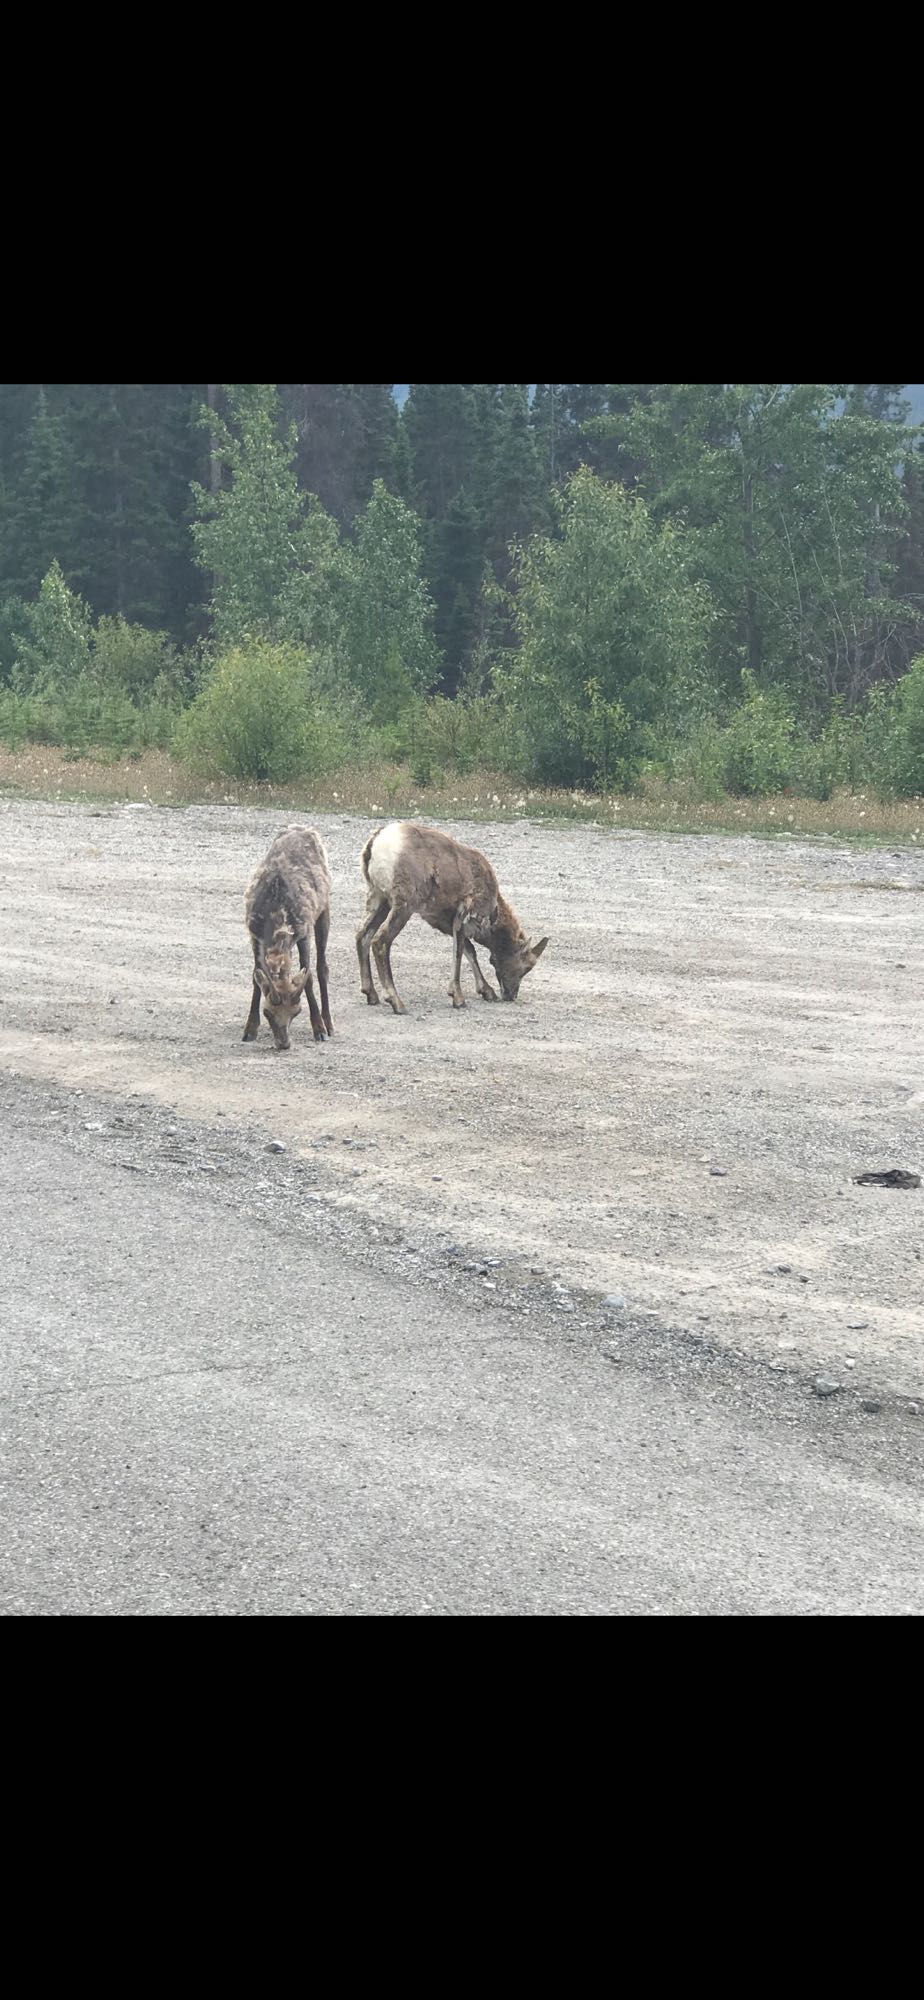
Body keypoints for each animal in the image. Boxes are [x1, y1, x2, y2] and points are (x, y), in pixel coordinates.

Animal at [243, 826, 333, 1050]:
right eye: (267, 1012)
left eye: (296, 1011)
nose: (283, 1043)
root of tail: (304, 828)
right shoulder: (254, 935)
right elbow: (256, 976)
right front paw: (250, 1029)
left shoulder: (303, 932)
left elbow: (308, 976)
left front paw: (318, 1028)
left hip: (324, 910)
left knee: (322, 967)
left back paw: (328, 1023)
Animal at [356, 820, 549, 1015]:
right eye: (526, 967)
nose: (511, 995)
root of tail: (376, 842)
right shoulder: (464, 916)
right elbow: (459, 952)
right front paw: (458, 998)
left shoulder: (444, 922)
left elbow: (468, 949)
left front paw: (487, 992)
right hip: (403, 906)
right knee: (380, 942)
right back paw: (397, 1003)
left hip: (381, 901)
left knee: (362, 936)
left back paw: (371, 995)